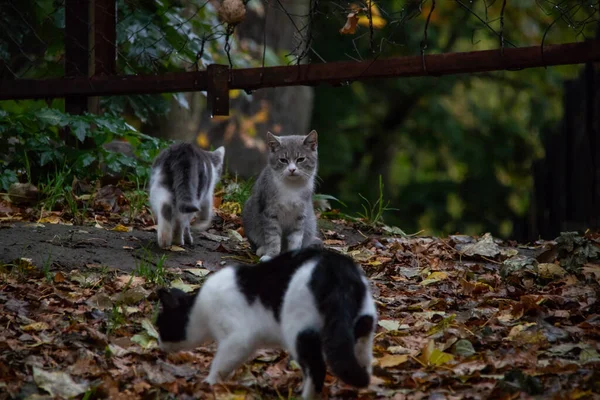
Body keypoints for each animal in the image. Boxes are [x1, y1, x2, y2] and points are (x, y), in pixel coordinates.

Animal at [157, 247, 378, 400]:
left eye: (160, 326)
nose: (158, 344)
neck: (200, 307)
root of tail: (337, 268)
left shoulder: (239, 337)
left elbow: (221, 364)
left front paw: (209, 384)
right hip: (363, 327)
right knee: (362, 361)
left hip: (299, 330)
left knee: (316, 368)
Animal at [241, 130, 322, 262]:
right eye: (283, 160)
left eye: (301, 159)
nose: (292, 169)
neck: (292, 187)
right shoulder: (270, 213)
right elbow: (273, 238)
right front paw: (270, 255)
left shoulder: (300, 215)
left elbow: (295, 239)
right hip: (249, 211)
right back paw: (262, 249)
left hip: (310, 223)